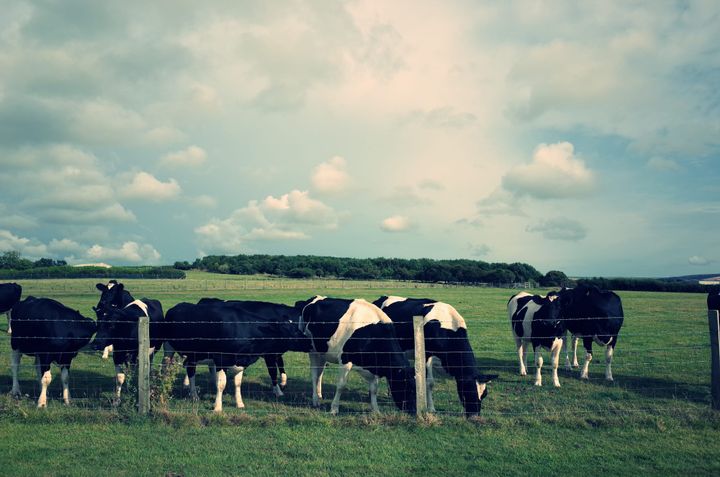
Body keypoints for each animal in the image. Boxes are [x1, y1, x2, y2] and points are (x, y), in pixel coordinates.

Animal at [163, 300, 311, 412]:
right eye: (292, 331)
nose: (310, 341)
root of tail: (178, 305)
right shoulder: (222, 359)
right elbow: (222, 383)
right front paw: (217, 407)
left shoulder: (241, 362)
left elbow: (238, 383)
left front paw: (239, 403)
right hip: (168, 347)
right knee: (167, 367)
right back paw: (182, 391)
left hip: (193, 354)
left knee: (190, 368)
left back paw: (192, 392)